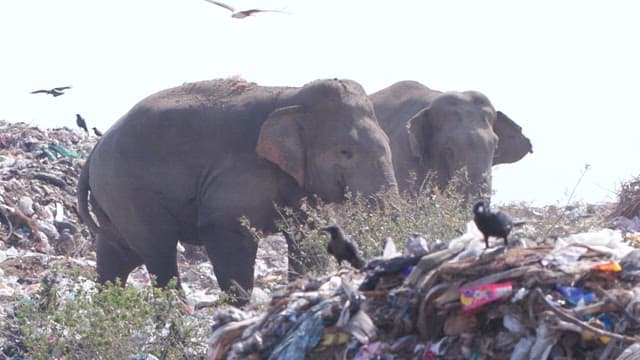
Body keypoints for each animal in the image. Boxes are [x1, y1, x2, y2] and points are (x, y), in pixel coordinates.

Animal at [77, 78, 398, 300]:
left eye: (388, 141)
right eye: (345, 152)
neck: (292, 96)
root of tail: (93, 152)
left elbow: (306, 238)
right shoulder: (242, 172)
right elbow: (227, 231)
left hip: (112, 199)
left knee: (118, 256)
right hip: (127, 191)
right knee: (159, 253)